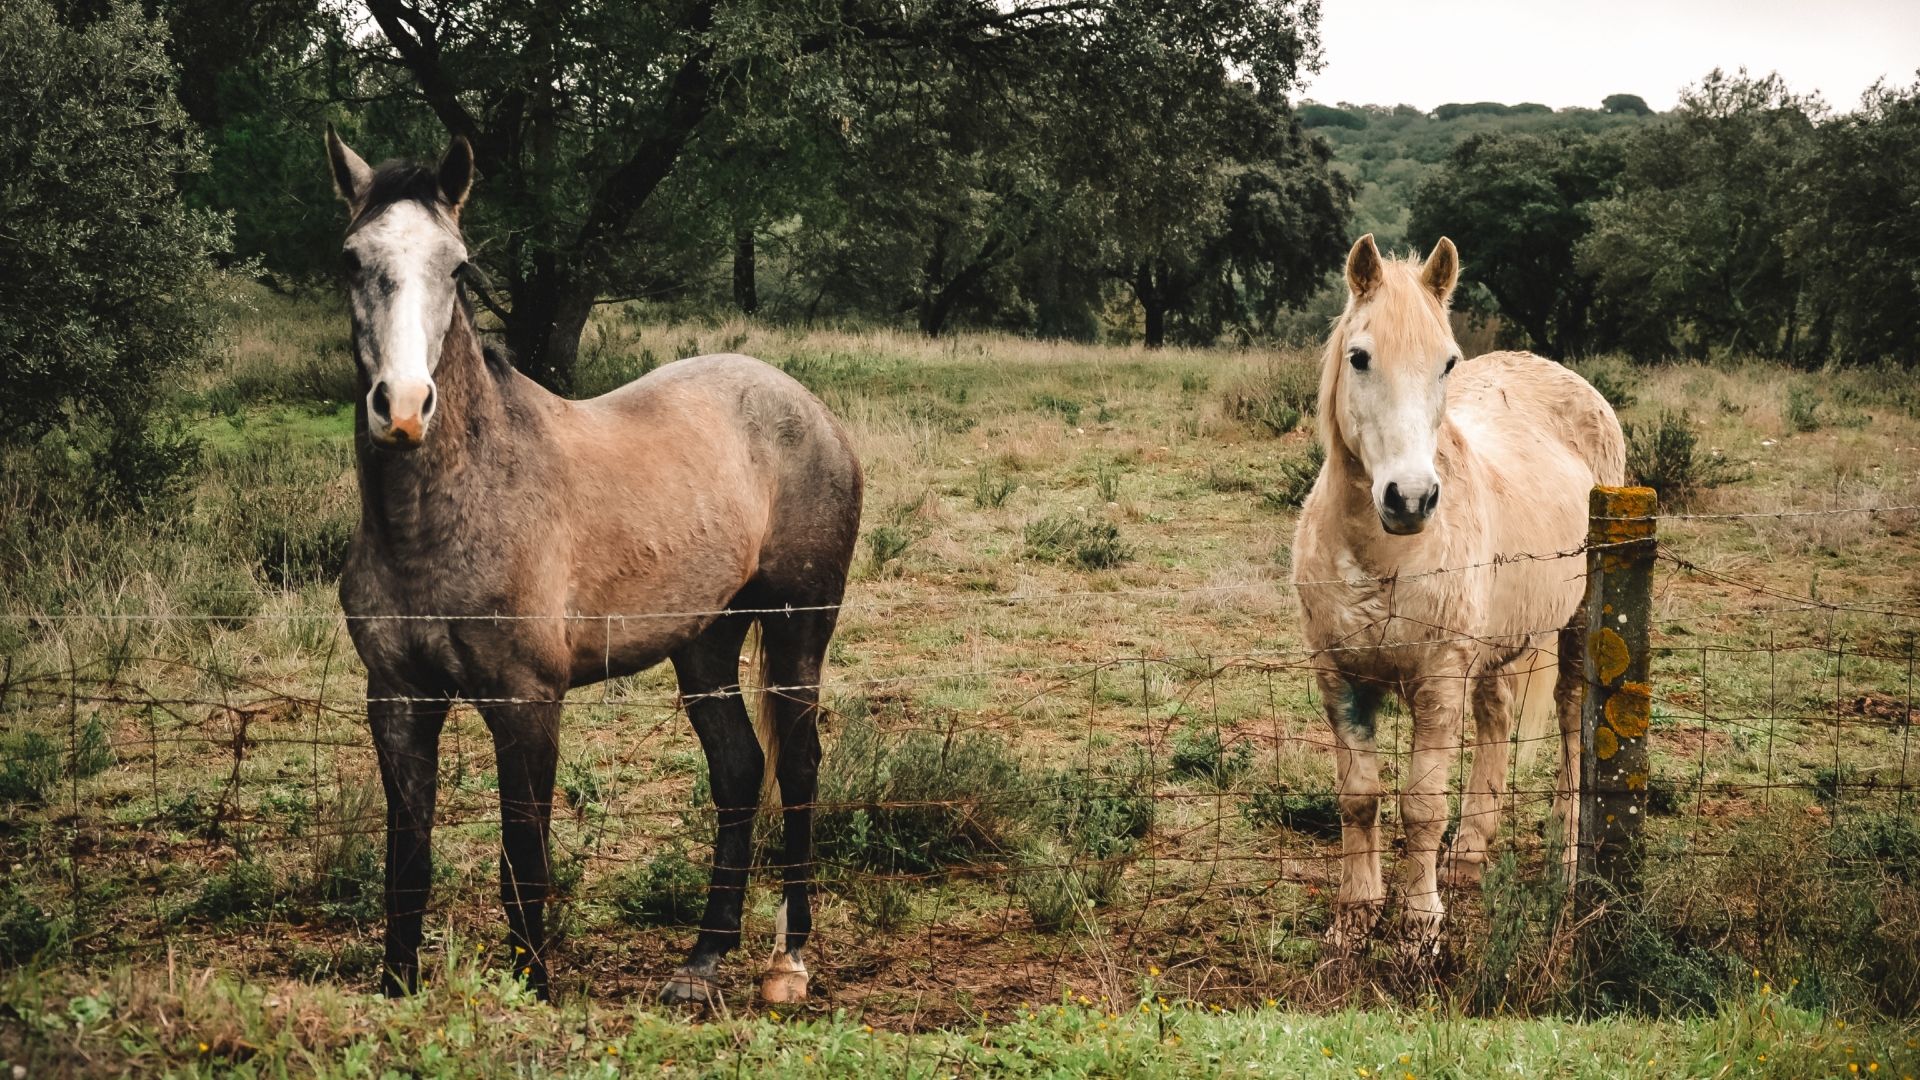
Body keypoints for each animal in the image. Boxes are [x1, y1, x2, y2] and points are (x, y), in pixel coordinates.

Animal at [323, 128, 863, 1005]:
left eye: (459, 266)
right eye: (350, 258)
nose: (402, 408)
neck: (443, 519)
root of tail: (806, 407)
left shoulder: (526, 703)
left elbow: (524, 862)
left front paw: (535, 989)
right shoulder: (398, 702)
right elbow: (406, 865)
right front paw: (398, 989)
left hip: (796, 632)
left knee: (801, 764)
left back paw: (788, 962)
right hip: (704, 644)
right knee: (740, 769)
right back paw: (703, 958)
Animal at [1291, 234, 1624, 954]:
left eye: (1446, 362)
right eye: (1360, 357)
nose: (1411, 498)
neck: (1383, 557)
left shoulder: (1438, 679)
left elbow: (1421, 806)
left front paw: (1420, 924)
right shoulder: (1337, 678)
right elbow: (1359, 798)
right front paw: (1355, 916)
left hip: (1579, 625)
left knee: (1571, 724)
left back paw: (1565, 858)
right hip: (1496, 645)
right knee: (1496, 717)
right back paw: (1470, 854)